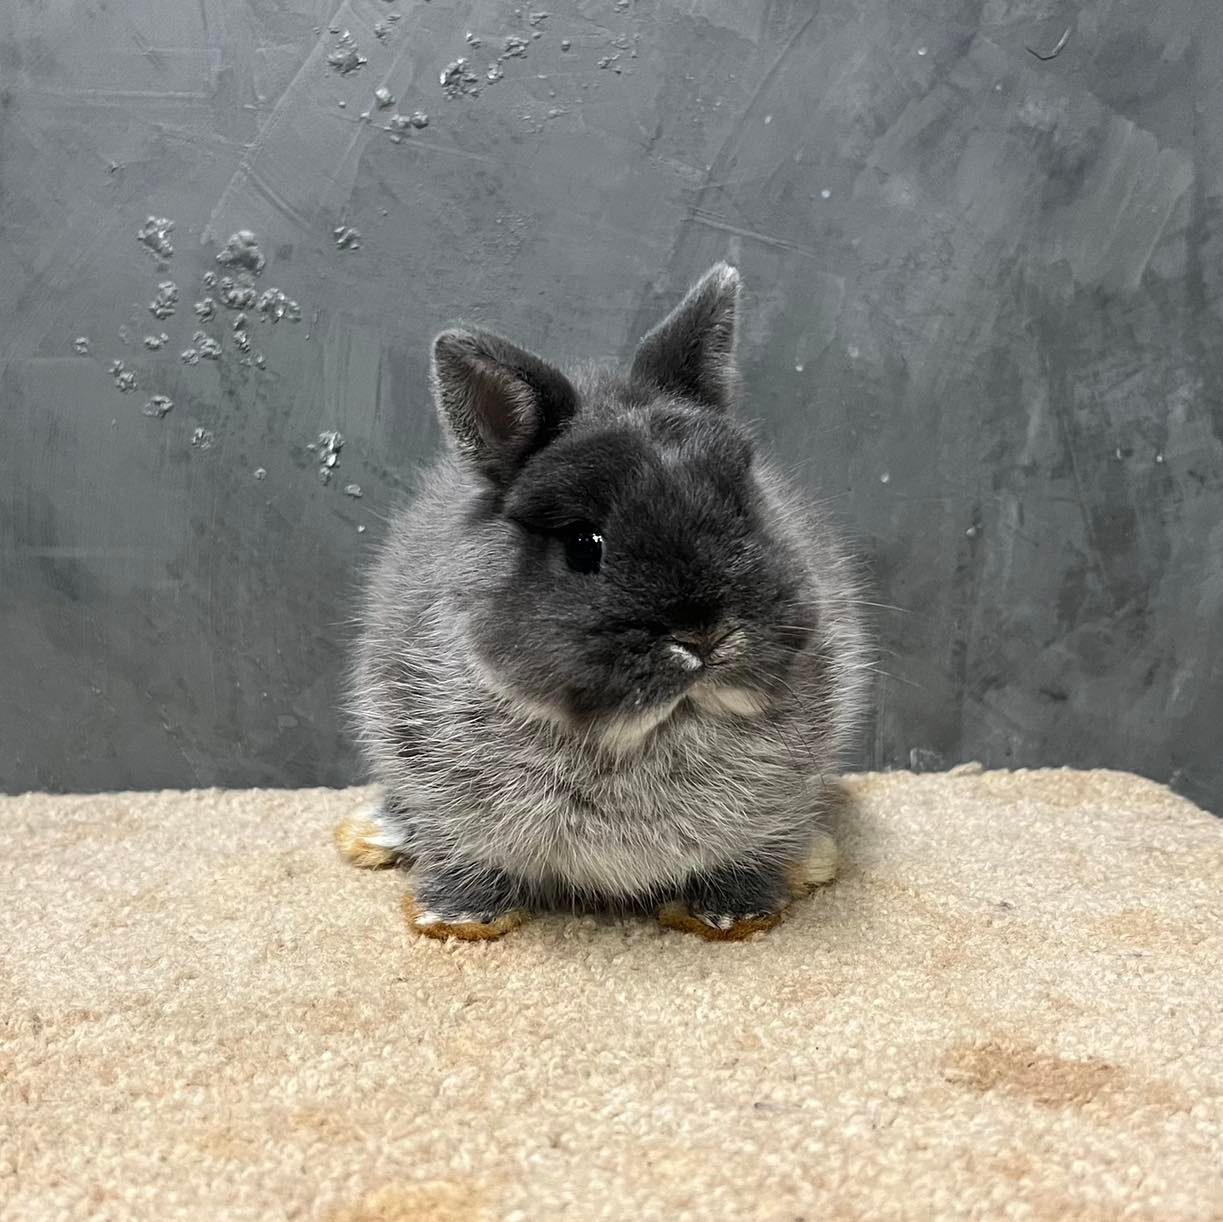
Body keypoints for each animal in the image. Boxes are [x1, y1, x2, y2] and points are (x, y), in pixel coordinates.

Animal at [338, 263, 870, 941]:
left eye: (744, 507)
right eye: (583, 545)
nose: (704, 636)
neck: (648, 735)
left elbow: (749, 851)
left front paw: (732, 912)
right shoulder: (435, 781)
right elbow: (467, 855)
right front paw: (457, 915)